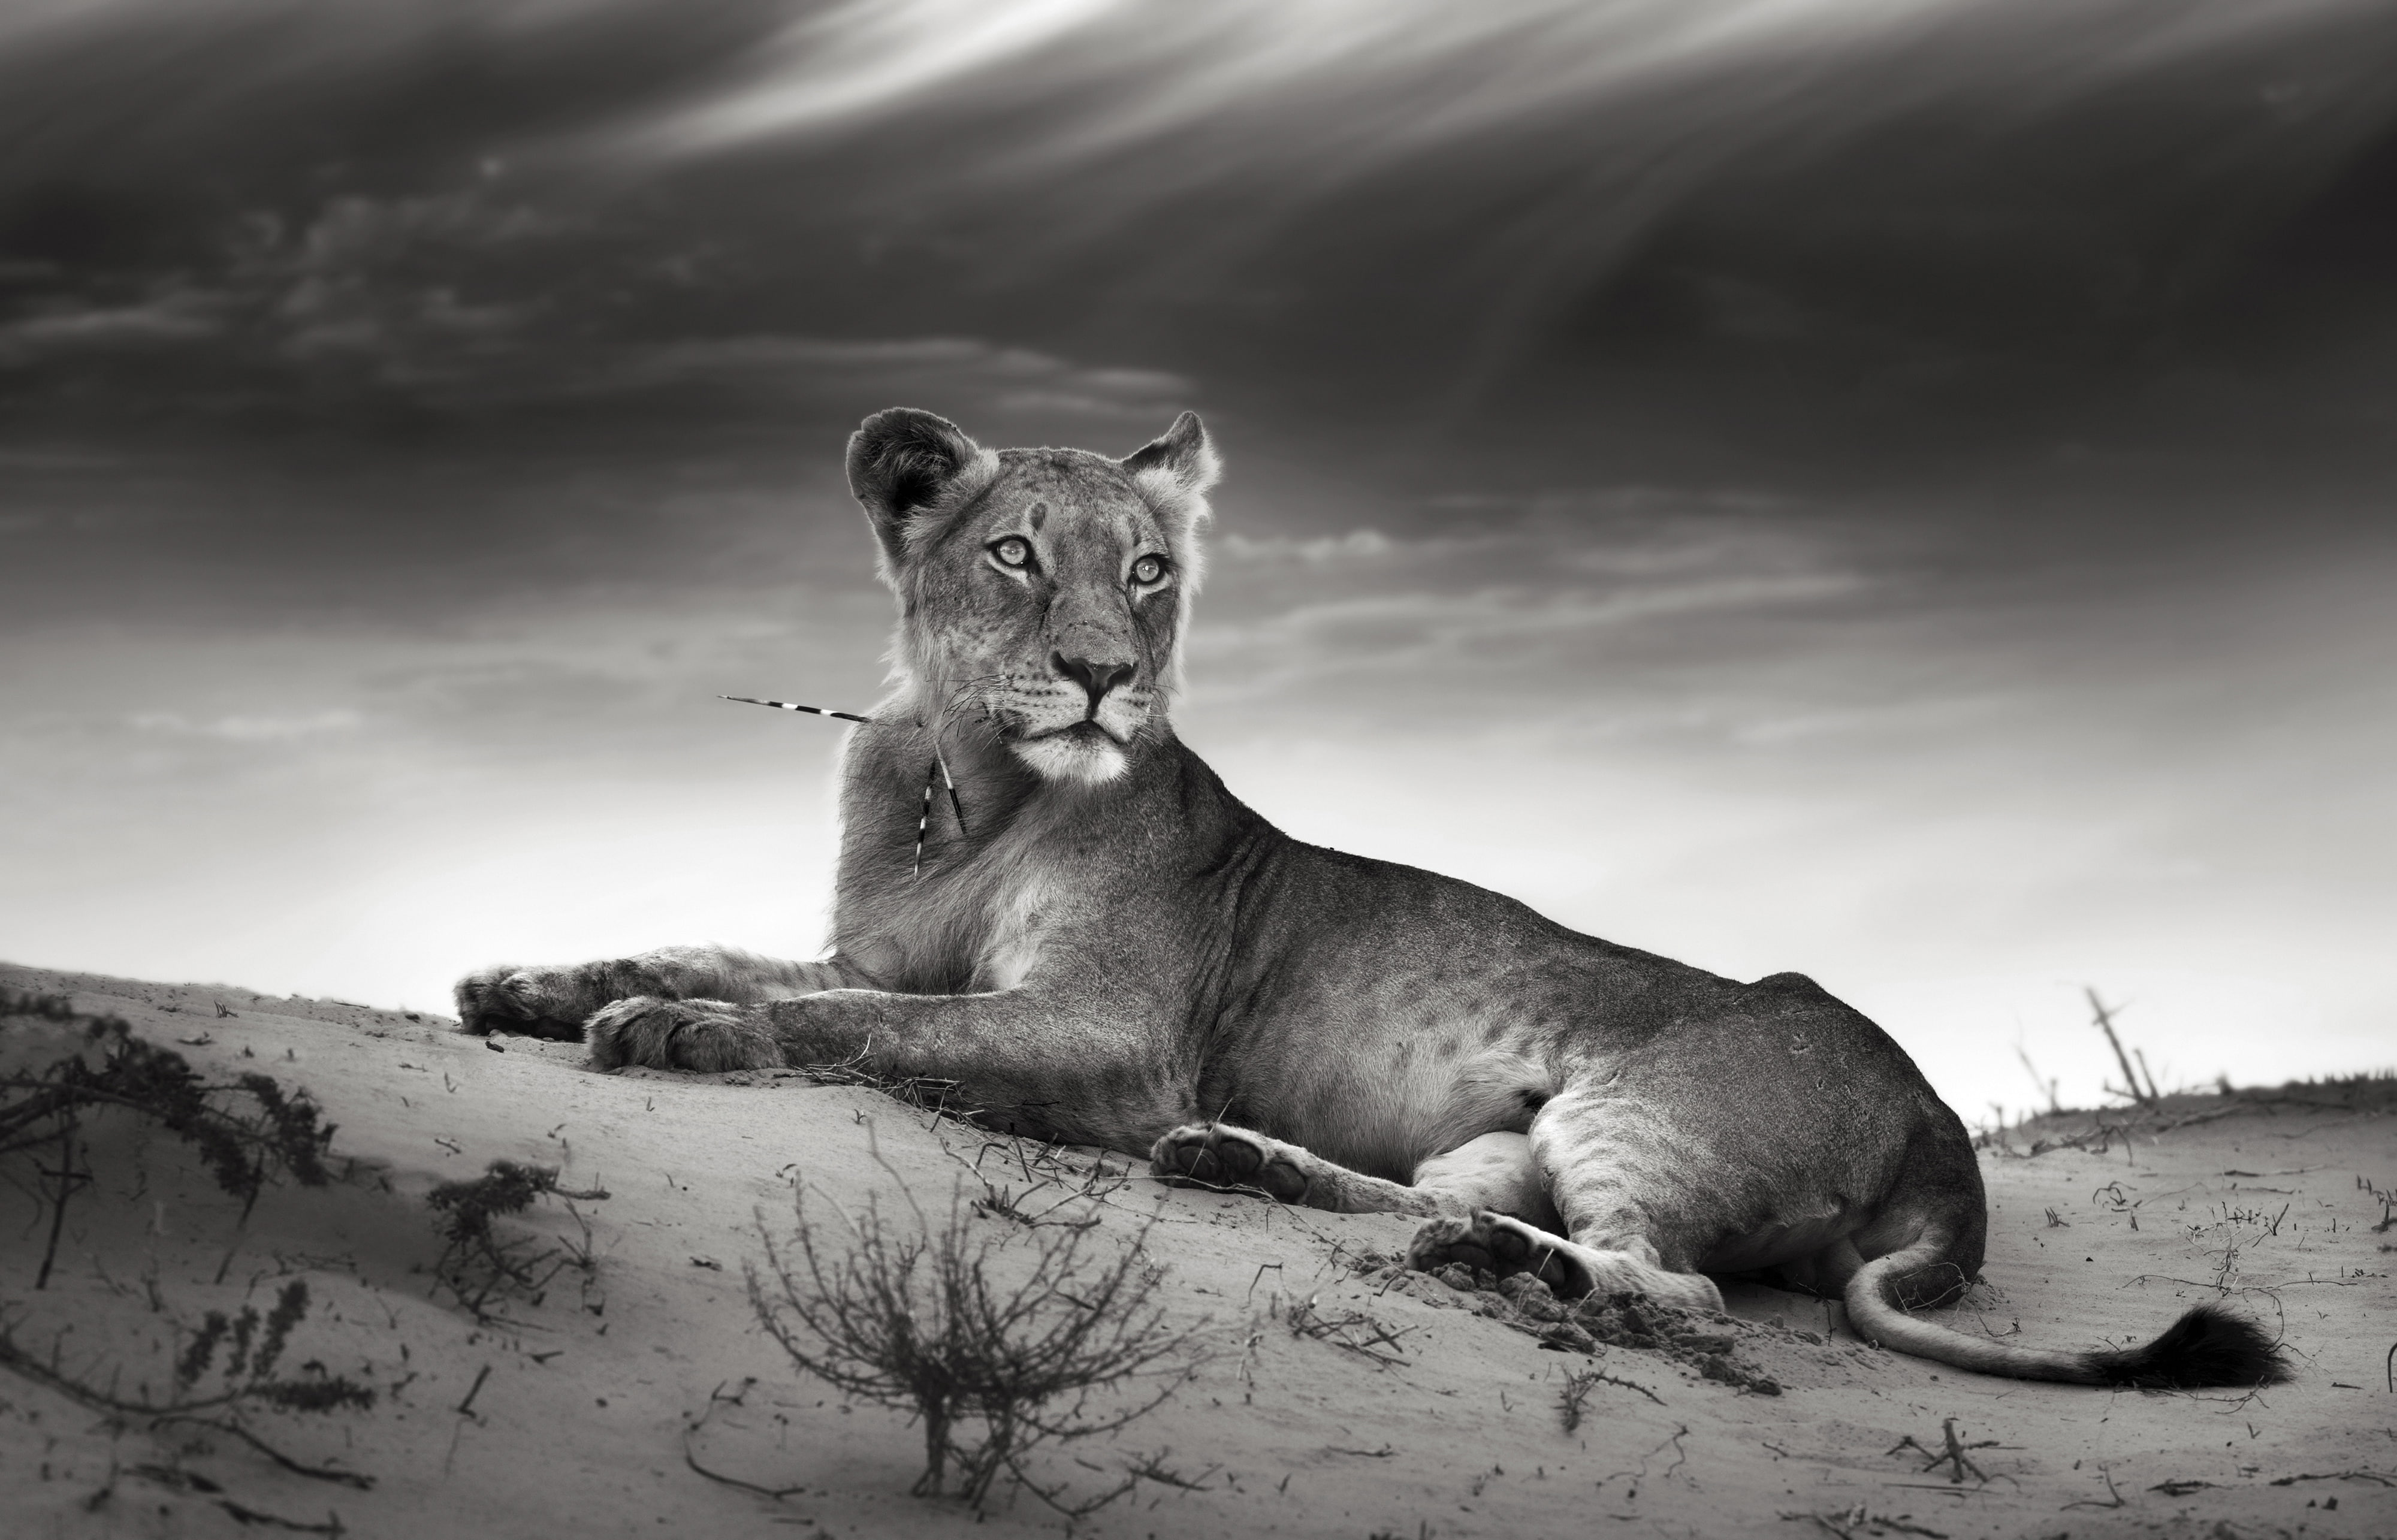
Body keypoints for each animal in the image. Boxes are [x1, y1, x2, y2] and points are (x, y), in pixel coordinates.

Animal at [457, 407, 2282, 1388]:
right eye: (1013, 555)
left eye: (1148, 570)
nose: (1107, 678)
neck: (963, 784)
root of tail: (1945, 1134)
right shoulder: (886, 948)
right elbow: (751, 959)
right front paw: (533, 986)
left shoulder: (1111, 1034)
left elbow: (857, 1026)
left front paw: (680, 1030)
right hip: (1505, 1132)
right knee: (1440, 1202)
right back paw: (1264, 1174)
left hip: (1637, 1108)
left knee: (1669, 1286)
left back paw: (1488, 1267)